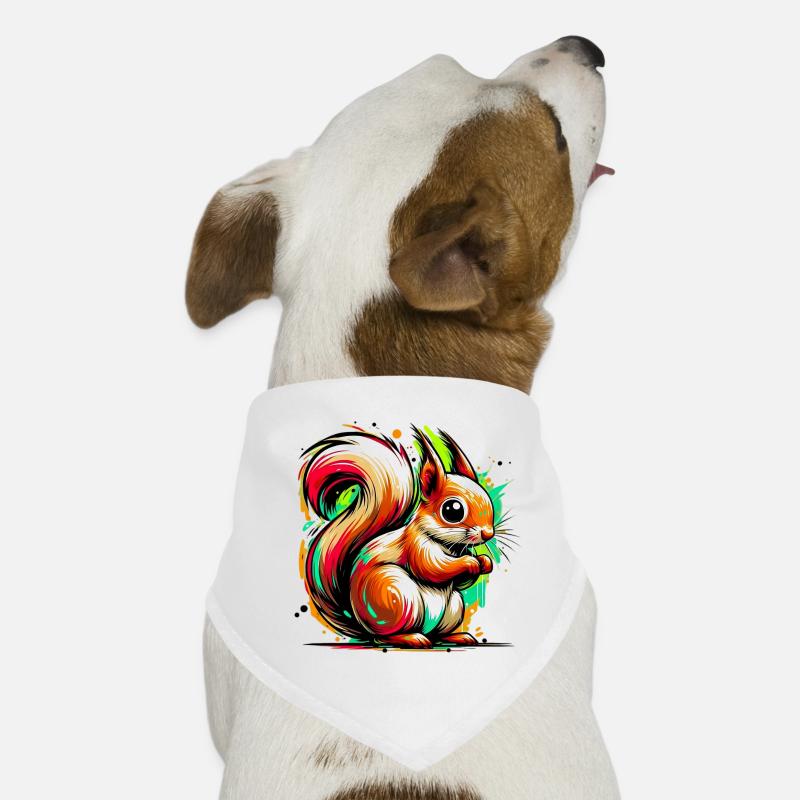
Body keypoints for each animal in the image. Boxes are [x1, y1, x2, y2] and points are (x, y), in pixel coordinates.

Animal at [301, 425, 495, 648]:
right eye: (452, 510)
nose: (488, 533)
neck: (449, 546)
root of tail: (363, 625)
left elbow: (462, 583)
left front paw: (484, 562)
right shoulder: (416, 546)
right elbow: (432, 568)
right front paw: (470, 562)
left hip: (453, 606)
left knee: (437, 632)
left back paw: (456, 636)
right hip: (398, 597)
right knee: (384, 637)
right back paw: (411, 638)